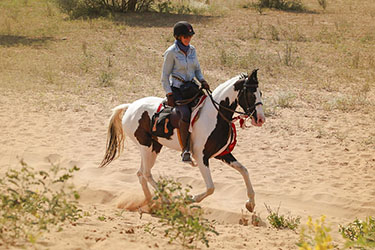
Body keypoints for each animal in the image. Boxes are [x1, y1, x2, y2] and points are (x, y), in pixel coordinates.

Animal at [98, 69, 266, 213]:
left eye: (260, 93)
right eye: (251, 94)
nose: (260, 119)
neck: (214, 115)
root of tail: (131, 106)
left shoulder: (222, 154)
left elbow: (244, 170)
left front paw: (250, 203)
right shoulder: (201, 157)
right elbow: (211, 188)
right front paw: (189, 199)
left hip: (153, 147)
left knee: (141, 173)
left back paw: (150, 202)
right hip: (146, 147)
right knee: (146, 173)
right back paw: (165, 201)